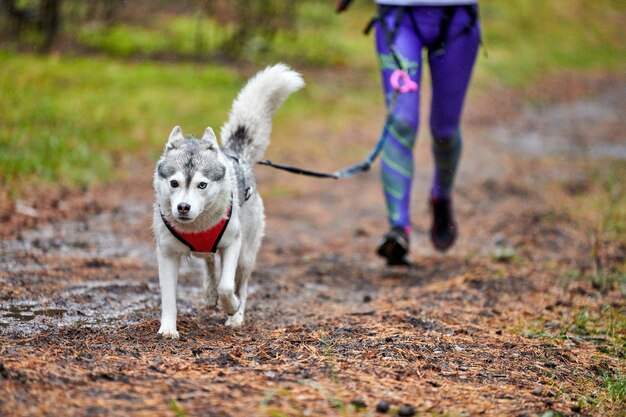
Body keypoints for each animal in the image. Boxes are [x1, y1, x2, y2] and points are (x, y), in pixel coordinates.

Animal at [154, 65, 304, 338]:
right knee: (209, 262)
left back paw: (236, 315)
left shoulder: (233, 243)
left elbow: (227, 285)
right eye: (174, 183)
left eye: (202, 184)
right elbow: (169, 296)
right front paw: (168, 328)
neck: (198, 227)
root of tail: (236, 155)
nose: (183, 207)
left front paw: (231, 306)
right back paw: (209, 292)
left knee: (240, 282)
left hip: (246, 254)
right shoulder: (167, 253)